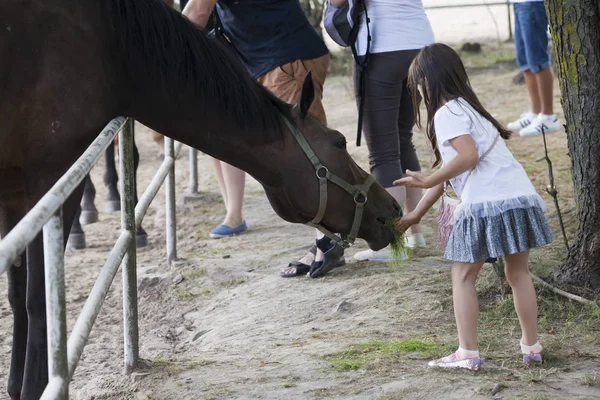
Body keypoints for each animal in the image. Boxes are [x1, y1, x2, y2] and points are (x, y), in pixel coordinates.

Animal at [2, 1, 400, 398]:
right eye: (339, 142)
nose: (391, 207)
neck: (108, 47)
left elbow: (19, 296)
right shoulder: (52, 181)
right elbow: (36, 299)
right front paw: (32, 386)